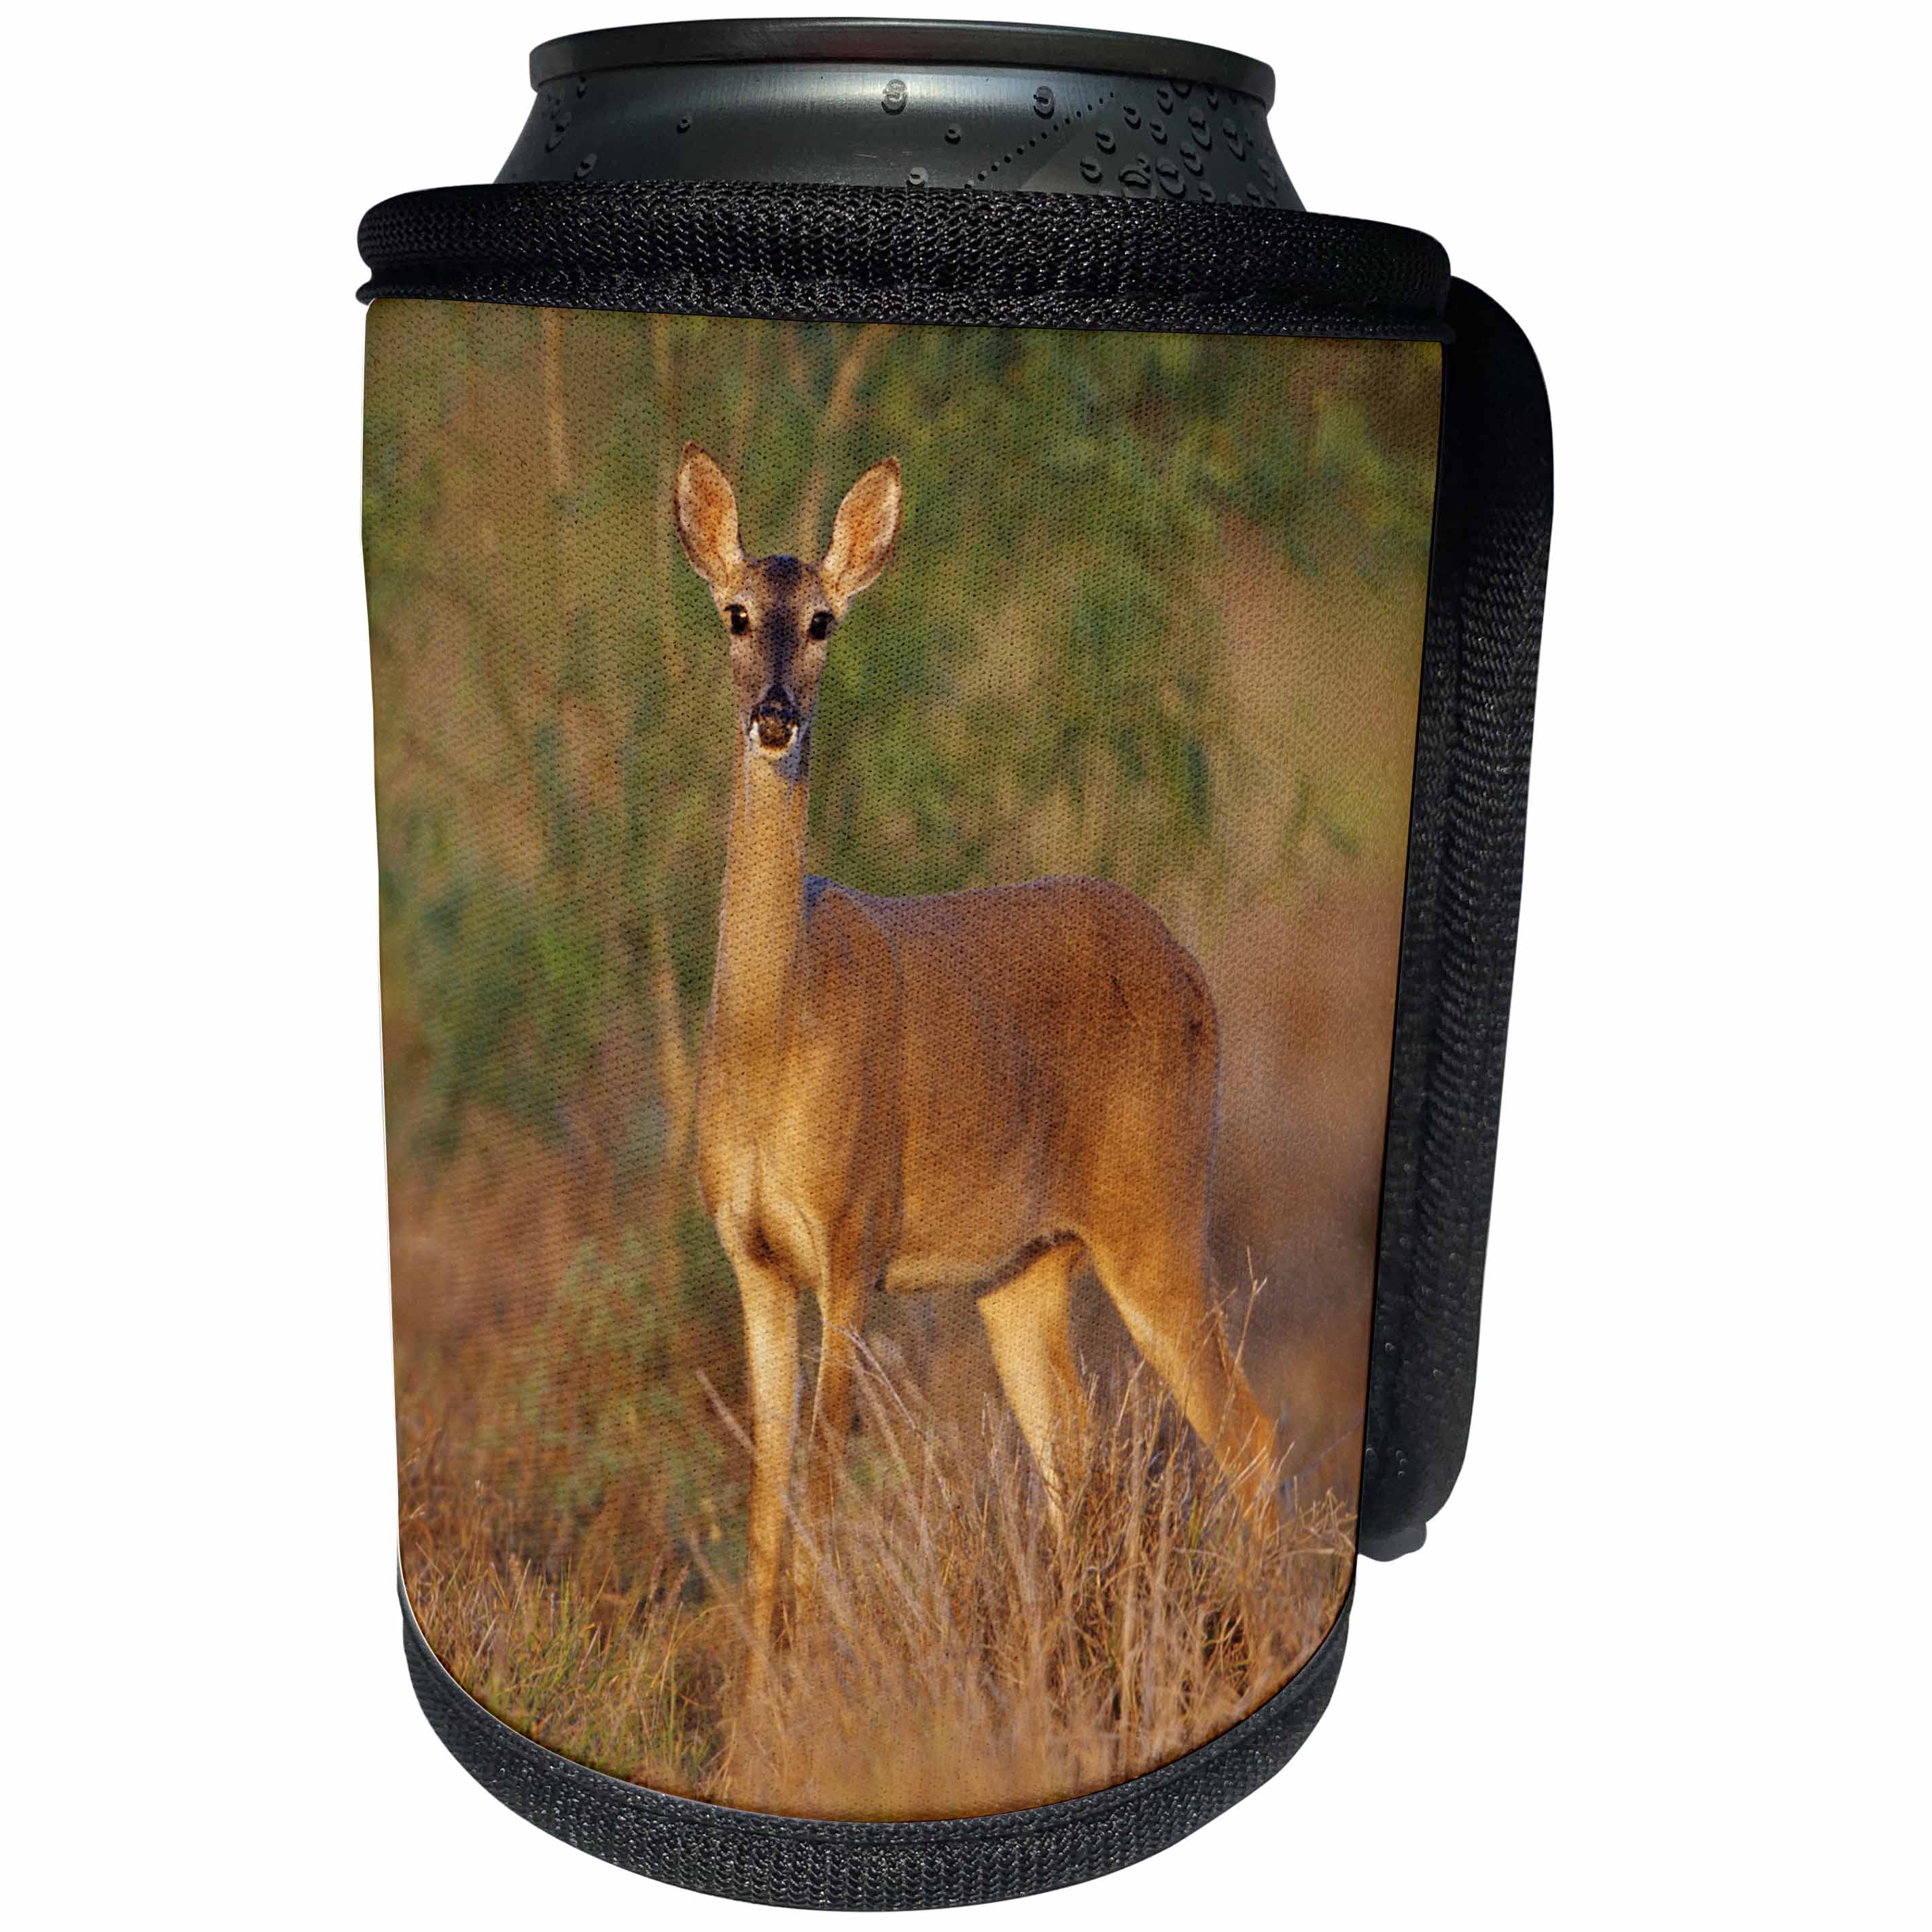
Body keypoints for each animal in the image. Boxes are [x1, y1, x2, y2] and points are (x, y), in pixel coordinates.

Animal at [673, 443, 1282, 1676]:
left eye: (823, 620)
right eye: (734, 613)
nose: (774, 718)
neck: (774, 1035)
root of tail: (1192, 967)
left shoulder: (853, 1239)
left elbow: (818, 1489)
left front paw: (806, 1699)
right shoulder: (752, 1258)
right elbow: (763, 1510)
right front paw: (753, 1705)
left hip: (1155, 1208)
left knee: (1247, 1436)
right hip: (1024, 1266)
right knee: (1076, 1462)